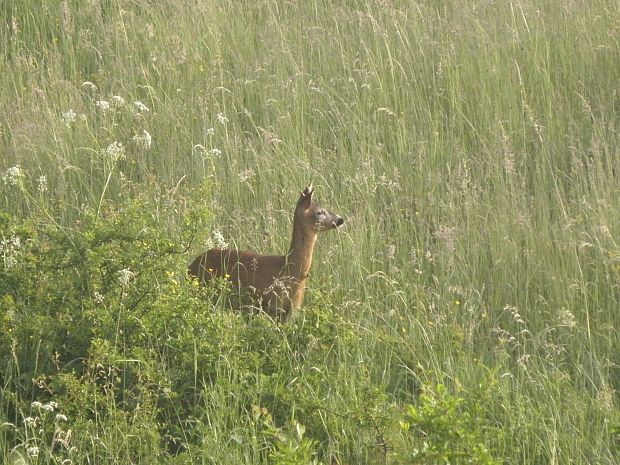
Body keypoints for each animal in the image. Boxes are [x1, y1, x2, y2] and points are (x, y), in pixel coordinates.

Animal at [188, 184, 344, 320]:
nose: (340, 219)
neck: (291, 269)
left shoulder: (294, 308)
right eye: (319, 212)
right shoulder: (273, 304)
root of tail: (190, 266)